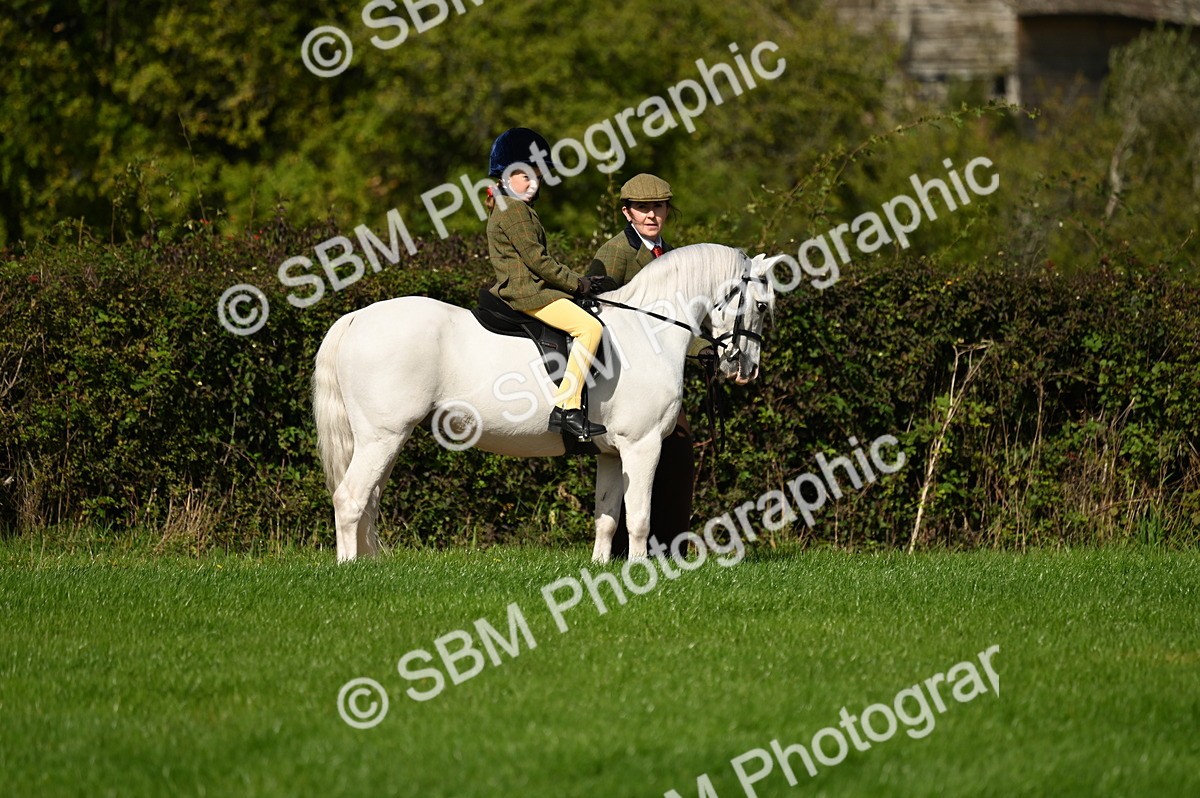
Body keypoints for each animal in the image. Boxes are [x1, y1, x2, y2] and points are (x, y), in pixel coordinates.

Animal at [312, 243, 777, 563]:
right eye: (760, 304)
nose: (746, 369)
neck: (648, 329)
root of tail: (356, 318)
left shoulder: (611, 454)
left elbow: (607, 517)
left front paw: (600, 569)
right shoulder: (641, 446)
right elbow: (640, 518)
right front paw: (639, 571)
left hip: (385, 440)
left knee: (367, 500)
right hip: (382, 437)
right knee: (350, 498)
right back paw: (350, 568)